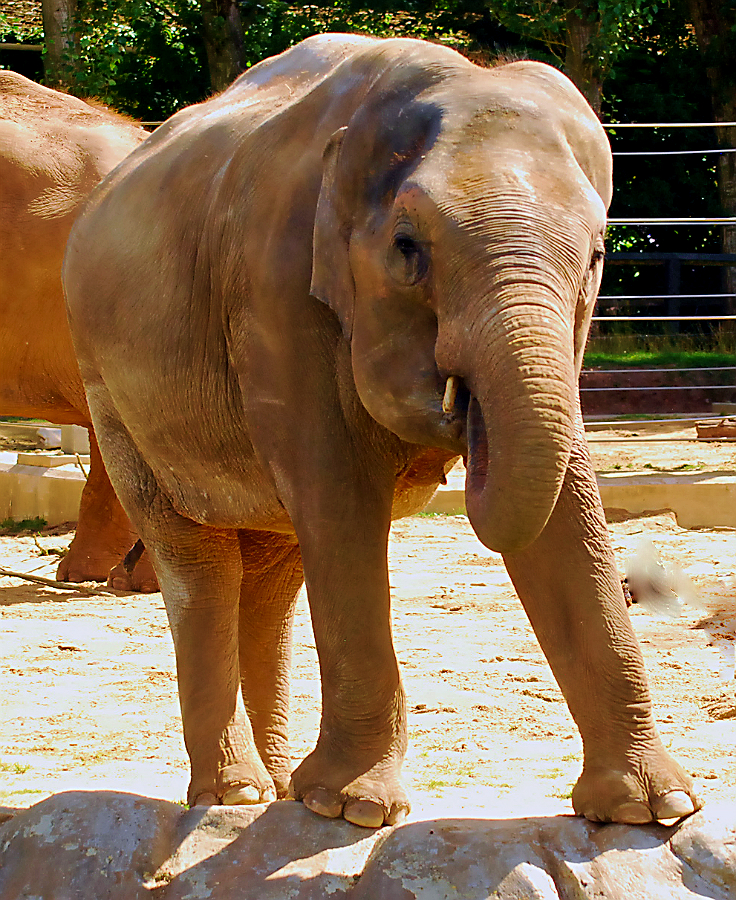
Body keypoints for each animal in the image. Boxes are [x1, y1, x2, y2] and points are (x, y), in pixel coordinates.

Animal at [62, 33, 700, 828]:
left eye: (597, 256)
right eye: (407, 248)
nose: (456, 422)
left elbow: (567, 503)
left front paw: (654, 808)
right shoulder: (277, 291)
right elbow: (339, 498)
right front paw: (352, 809)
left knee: (272, 573)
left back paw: (278, 788)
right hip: (109, 387)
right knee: (202, 564)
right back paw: (236, 794)